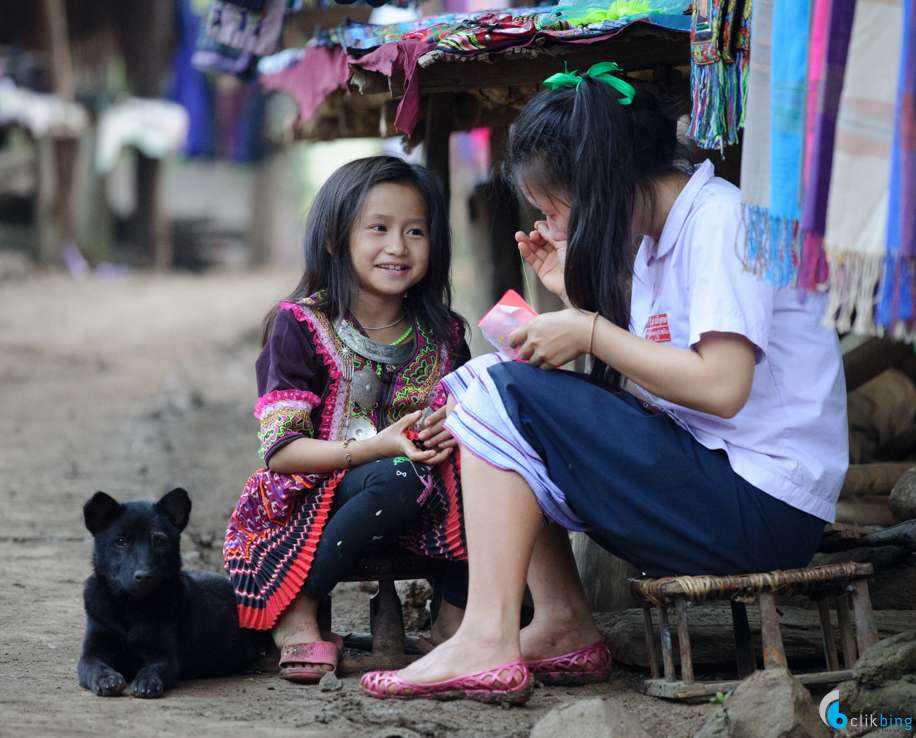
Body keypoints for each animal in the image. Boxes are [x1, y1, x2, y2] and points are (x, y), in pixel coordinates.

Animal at [77, 488, 266, 696]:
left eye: (160, 542)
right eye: (120, 541)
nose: (143, 576)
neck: (130, 606)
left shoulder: (163, 656)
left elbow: (154, 668)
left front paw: (147, 682)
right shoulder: (92, 653)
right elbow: (96, 667)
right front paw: (107, 679)